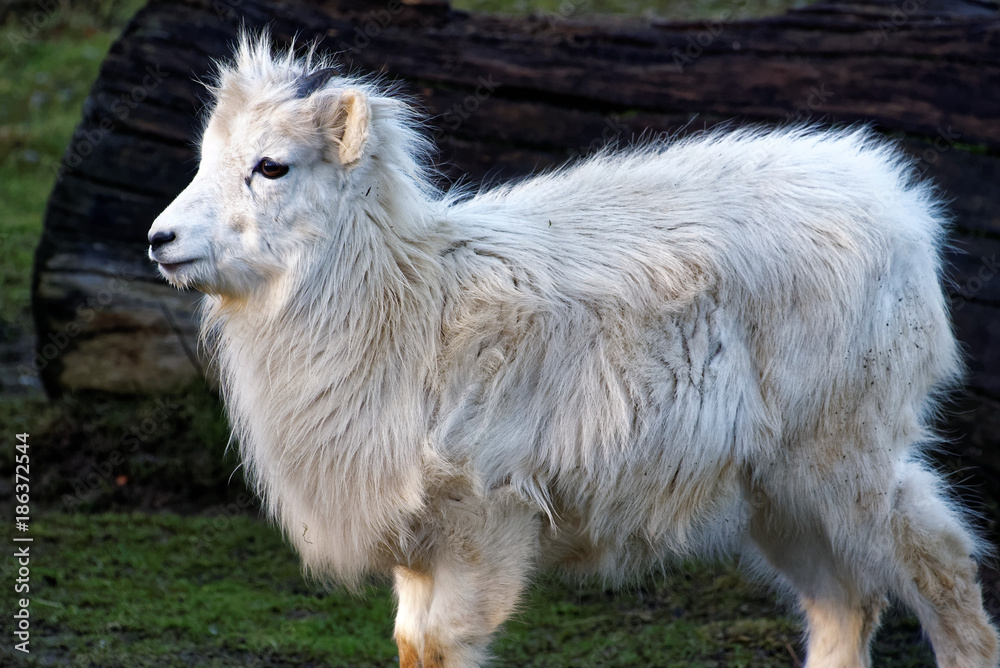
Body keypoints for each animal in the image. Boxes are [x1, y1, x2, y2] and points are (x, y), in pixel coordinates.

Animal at [147, 31, 999, 668]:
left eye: (271, 166)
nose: (161, 240)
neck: (405, 300)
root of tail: (902, 209)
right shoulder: (418, 549)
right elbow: (411, 646)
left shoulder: (482, 526)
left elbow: (444, 645)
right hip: (776, 485)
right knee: (841, 602)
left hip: (846, 451)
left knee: (939, 561)